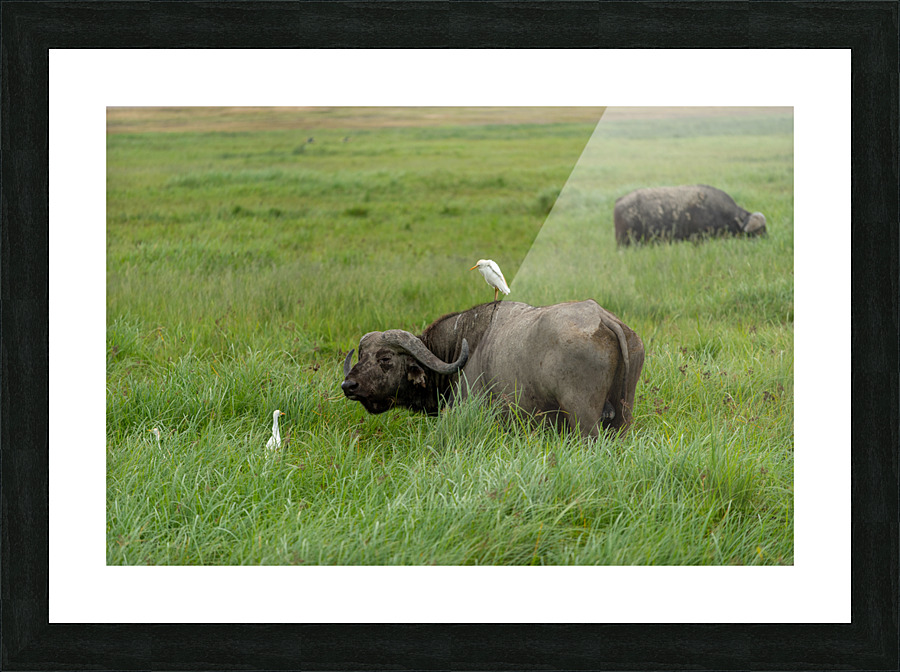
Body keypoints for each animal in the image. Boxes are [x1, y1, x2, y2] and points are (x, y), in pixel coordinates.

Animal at [341, 300, 645, 439]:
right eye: (361, 355)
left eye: (385, 358)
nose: (348, 385)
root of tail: (601, 317)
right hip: (623, 415)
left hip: (584, 417)